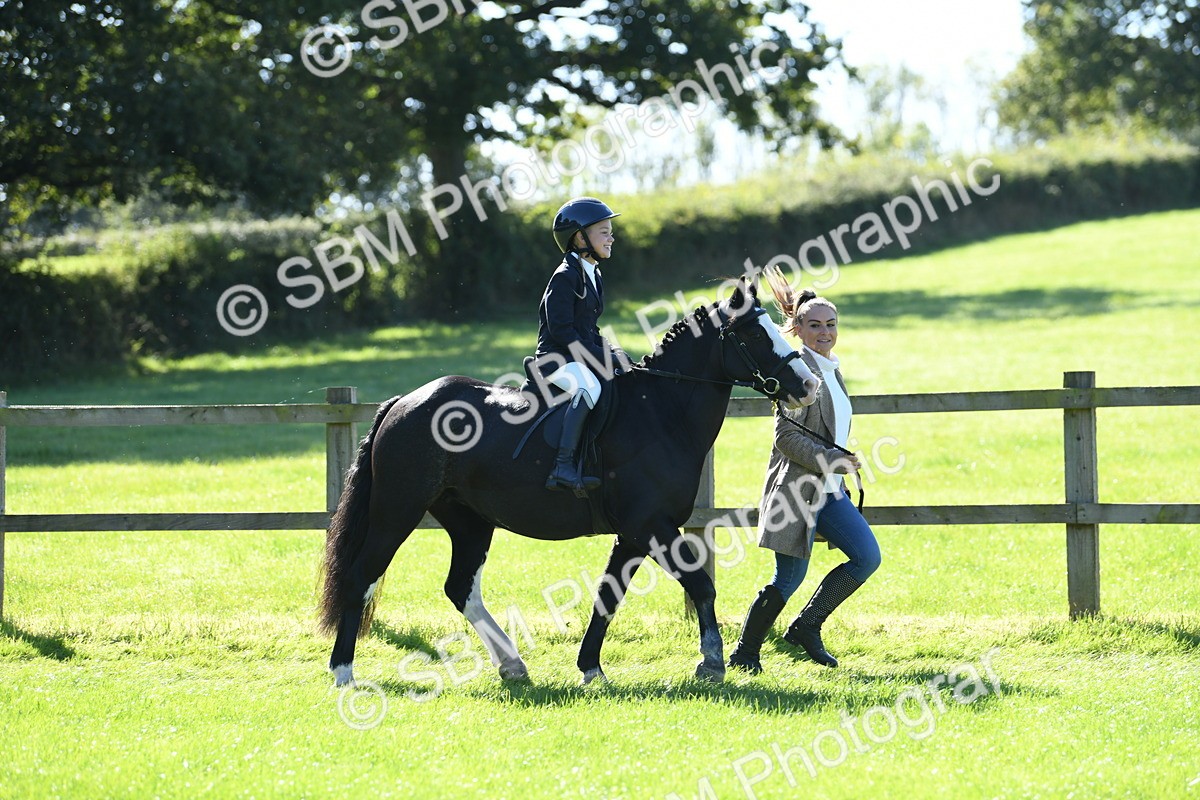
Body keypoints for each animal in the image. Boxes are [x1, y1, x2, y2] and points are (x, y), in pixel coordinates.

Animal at [318, 279, 819, 687]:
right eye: (755, 334)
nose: (809, 385)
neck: (661, 411)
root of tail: (406, 401)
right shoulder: (650, 526)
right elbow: (700, 584)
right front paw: (711, 662)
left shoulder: (633, 534)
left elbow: (607, 596)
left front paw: (591, 668)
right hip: (396, 512)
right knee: (362, 574)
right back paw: (343, 673)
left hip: (469, 521)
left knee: (461, 587)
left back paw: (512, 665)